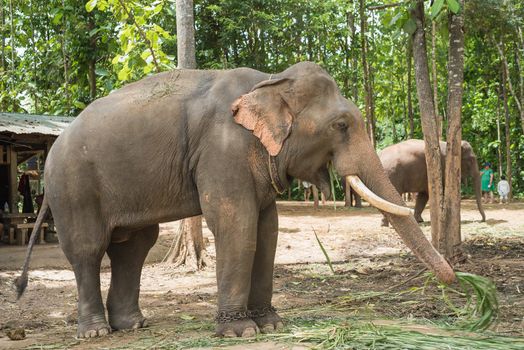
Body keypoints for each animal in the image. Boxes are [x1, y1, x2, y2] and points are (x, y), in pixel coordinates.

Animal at [15, 63, 454, 340]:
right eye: (342, 125)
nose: (456, 282)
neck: (269, 82)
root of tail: (52, 149)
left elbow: (268, 229)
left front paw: (272, 325)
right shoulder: (222, 150)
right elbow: (237, 225)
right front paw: (240, 332)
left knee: (134, 247)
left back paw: (133, 325)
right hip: (73, 186)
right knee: (88, 250)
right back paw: (95, 331)